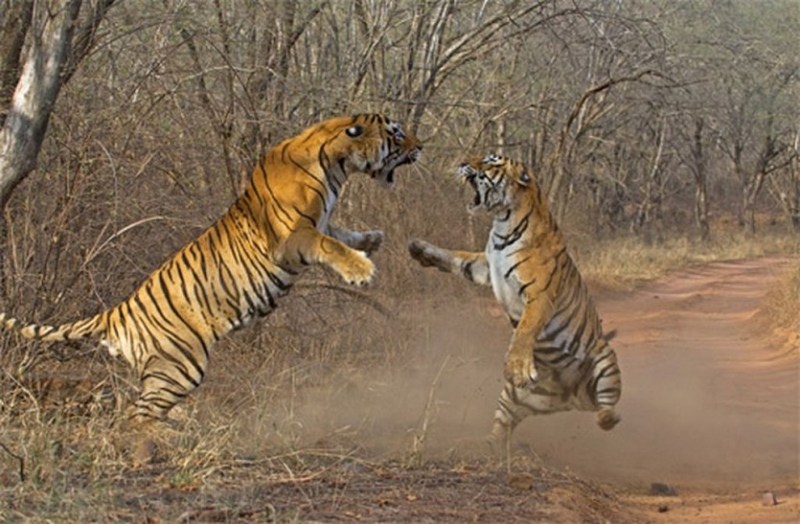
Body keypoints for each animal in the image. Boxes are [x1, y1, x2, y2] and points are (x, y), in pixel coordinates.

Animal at [1, 113, 422, 426]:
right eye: (397, 133)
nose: (421, 146)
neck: (335, 163)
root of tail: (115, 311)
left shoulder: (318, 222)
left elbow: (339, 231)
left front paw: (371, 239)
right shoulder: (294, 237)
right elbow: (328, 244)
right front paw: (361, 269)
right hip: (180, 364)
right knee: (136, 416)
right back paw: (168, 436)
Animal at [408, 154, 621, 450]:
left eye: (489, 162)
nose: (461, 162)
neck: (502, 224)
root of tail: (572, 397)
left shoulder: (539, 294)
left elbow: (525, 329)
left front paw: (518, 368)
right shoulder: (485, 266)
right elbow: (456, 257)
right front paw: (420, 249)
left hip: (605, 362)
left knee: (606, 411)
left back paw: (609, 416)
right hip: (512, 399)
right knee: (501, 427)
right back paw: (485, 444)